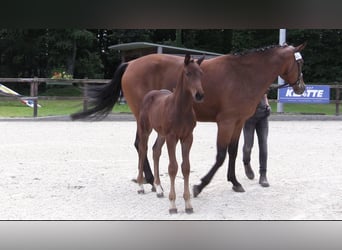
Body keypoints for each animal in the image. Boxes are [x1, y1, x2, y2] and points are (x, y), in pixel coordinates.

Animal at [72, 42, 308, 196]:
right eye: (300, 63)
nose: (301, 87)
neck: (242, 74)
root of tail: (131, 64)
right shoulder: (226, 122)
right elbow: (220, 156)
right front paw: (200, 185)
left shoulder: (238, 122)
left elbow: (232, 152)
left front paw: (234, 182)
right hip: (143, 119)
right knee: (141, 144)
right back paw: (150, 181)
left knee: (142, 145)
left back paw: (150, 180)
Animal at [136, 53, 203, 213]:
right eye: (188, 73)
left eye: (201, 73)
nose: (199, 95)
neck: (181, 109)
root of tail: (151, 94)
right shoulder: (172, 137)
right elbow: (173, 168)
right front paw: (172, 204)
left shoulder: (187, 137)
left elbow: (186, 167)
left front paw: (188, 204)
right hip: (145, 129)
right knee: (142, 150)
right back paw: (141, 186)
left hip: (162, 134)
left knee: (155, 151)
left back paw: (159, 188)